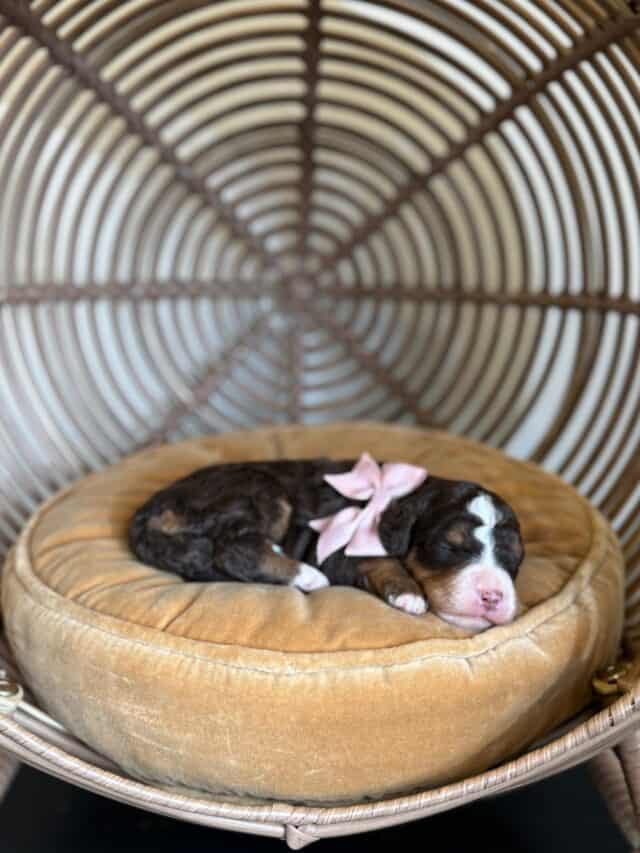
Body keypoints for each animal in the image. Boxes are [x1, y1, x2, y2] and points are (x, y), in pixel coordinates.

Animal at [130, 452, 524, 632]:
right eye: (451, 546)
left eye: (514, 558)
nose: (493, 596)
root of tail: (151, 508)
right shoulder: (341, 551)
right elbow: (383, 561)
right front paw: (409, 594)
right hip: (259, 488)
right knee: (233, 548)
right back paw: (305, 575)